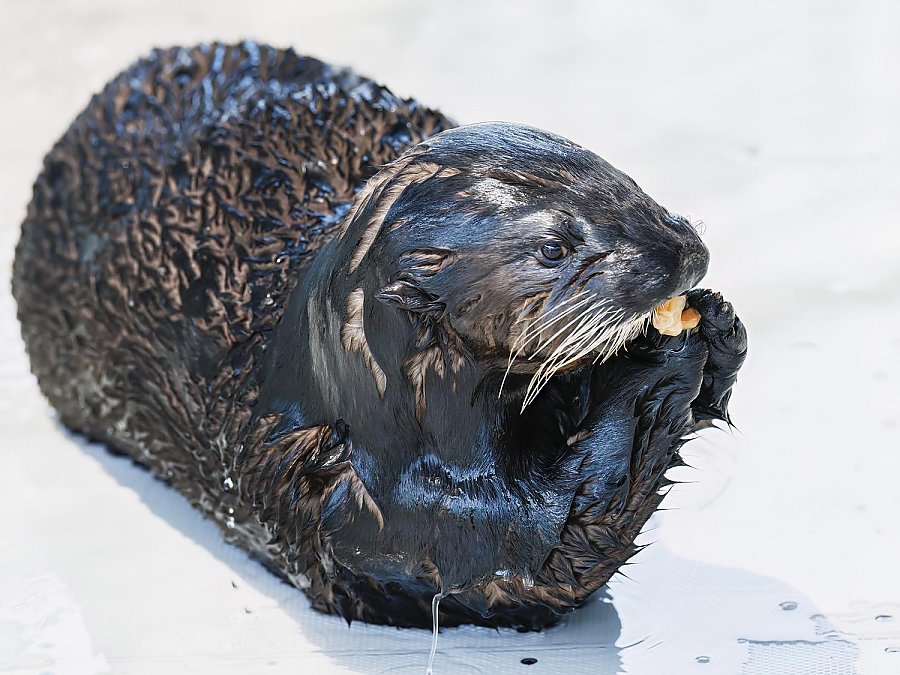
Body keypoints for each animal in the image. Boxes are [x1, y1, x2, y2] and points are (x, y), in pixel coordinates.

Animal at [12, 42, 747, 630]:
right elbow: (545, 539)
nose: (685, 253)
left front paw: (716, 326)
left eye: (629, 184)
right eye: (554, 249)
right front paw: (659, 364)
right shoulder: (398, 517)